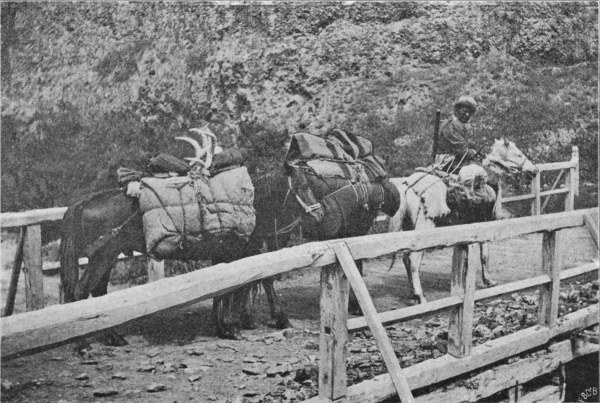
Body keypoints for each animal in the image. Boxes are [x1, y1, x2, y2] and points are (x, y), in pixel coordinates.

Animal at [387, 137, 539, 304]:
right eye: (518, 154)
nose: (534, 170)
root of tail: (410, 188)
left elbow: (466, 256)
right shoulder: (484, 224)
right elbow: (484, 255)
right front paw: (489, 281)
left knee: (406, 258)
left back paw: (412, 294)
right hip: (423, 229)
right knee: (413, 259)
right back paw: (420, 296)